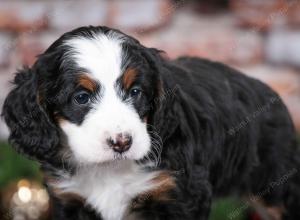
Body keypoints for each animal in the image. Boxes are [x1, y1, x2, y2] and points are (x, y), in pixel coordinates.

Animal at [2, 26, 300, 220]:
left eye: (136, 92)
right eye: (81, 98)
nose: (122, 142)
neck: (110, 171)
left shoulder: (179, 195)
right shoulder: (69, 199)